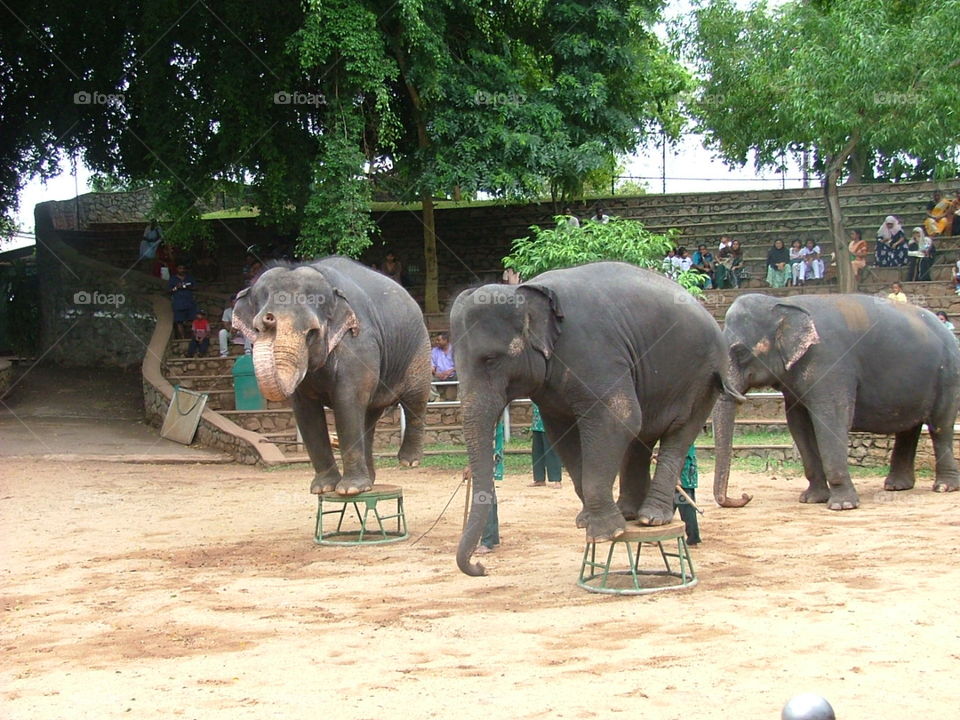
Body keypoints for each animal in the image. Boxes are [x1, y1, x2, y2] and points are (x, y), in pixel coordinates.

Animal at [232, 257, 432, 495]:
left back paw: (408, 461)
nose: (269, 319)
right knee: (368, 417)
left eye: (311, 333)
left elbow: (347, 402)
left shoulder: (358, 342)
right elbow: (306, 412)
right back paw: (371, 482)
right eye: (256, 328)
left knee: (415, 397)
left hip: (419, 348)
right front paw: (324, 488)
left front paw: (350, 490)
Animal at [450, 261, 741, 576]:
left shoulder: (592, 352)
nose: (480, 566)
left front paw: (605, 533)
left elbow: (618, 417)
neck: (527, 292)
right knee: (641, 436)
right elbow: (563, 433)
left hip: (702, 378)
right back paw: (630, 513)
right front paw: (588, 522)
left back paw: (651, 518)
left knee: (677, 434)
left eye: (491, 359)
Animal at [713, 293, 960, 511]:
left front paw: (842, 505)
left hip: (948, 375)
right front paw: (812, 499)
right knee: (909, 429)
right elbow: (799, 425)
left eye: (740, 352)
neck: (783, 302)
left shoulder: (831, 363)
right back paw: (897, 487)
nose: (745, 495)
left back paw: (943, 487)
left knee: (940, 426)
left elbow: (832, 420)